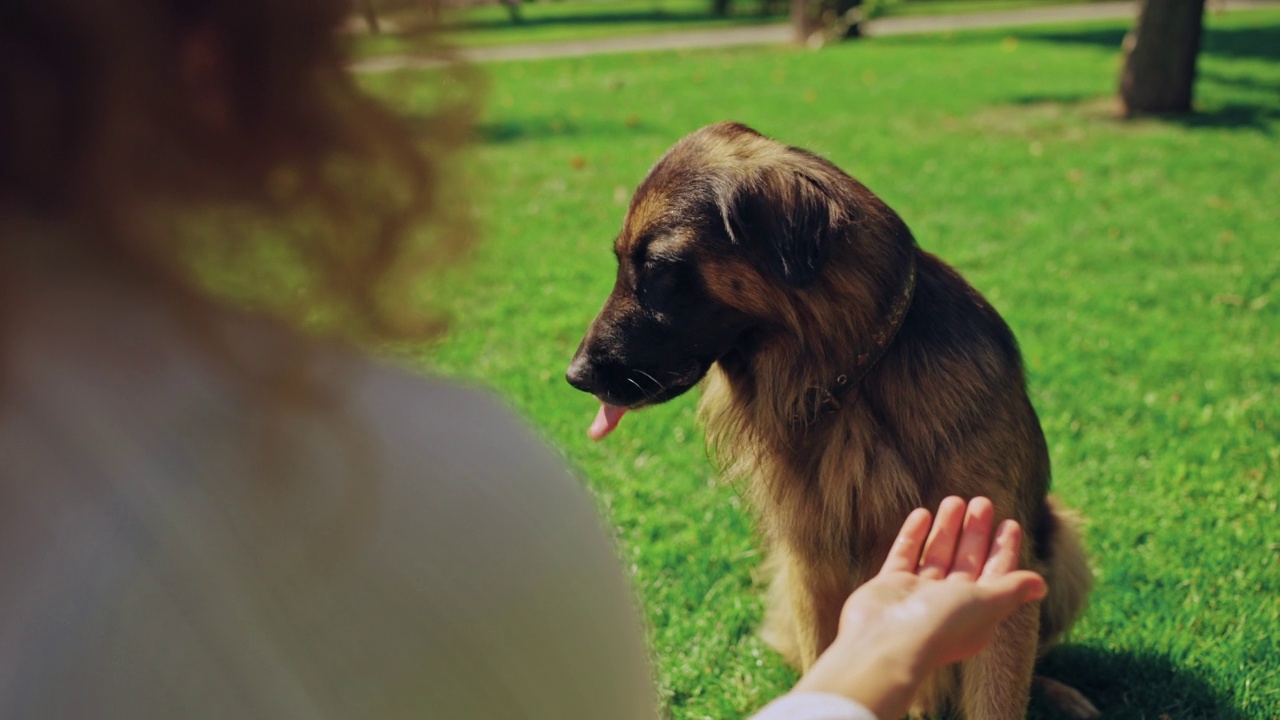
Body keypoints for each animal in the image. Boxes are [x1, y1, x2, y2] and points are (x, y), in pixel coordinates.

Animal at [565, 122, 1095, 717]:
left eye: (656, 269)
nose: (574, 375)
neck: (853, 380)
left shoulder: (995, 570)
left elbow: (996, 697)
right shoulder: (811, 571)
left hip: (1065, 544)